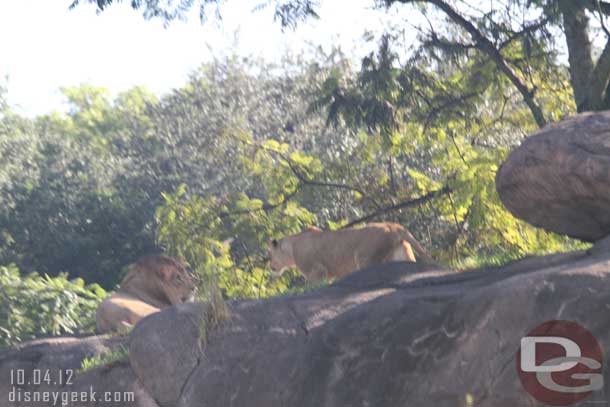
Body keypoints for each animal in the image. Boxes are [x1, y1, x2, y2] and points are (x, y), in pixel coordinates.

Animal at [266, 222, 432, 282]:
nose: (271, 267)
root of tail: (393, 226)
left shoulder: (317, 271)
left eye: (270, 254)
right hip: (404, 255)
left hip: (364, 259)